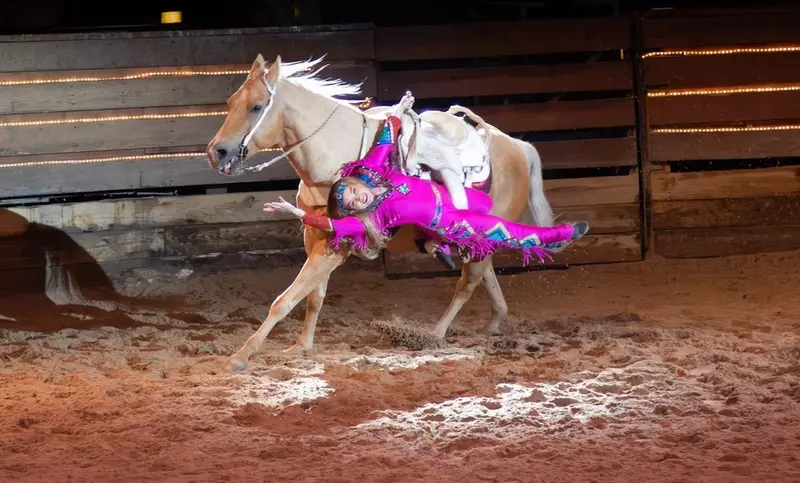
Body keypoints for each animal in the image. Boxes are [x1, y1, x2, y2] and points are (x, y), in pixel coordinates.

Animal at [206, 54, 554, 372]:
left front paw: (241, 356)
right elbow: (313, 294)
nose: (217, 152)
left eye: (256, 107)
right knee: (484, 273)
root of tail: (516, 146)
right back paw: (494, 321)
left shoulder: (337, 244)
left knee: (468, 282)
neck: (336, 155)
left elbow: (285, 299)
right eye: (231, 102)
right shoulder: (316, 234)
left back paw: (435, 333)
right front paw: (301, 346)